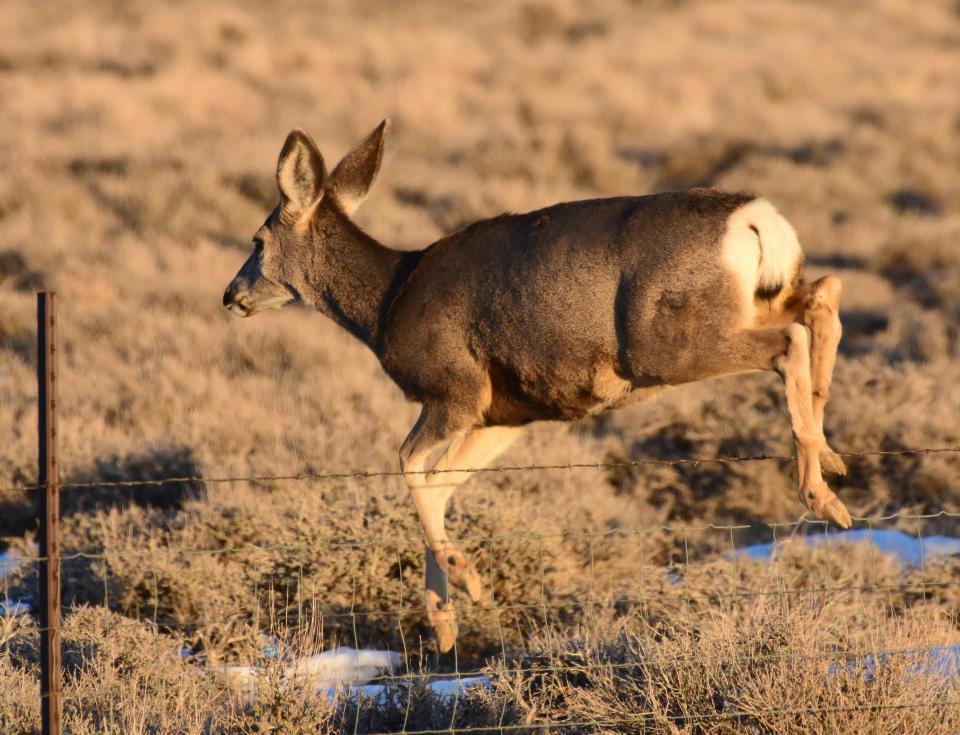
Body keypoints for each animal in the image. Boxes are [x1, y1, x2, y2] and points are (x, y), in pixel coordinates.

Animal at [223, 122, 848, 656]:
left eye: (257, 239)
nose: (231, 296)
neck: (385, 304)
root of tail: (755, 218)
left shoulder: (455, 388)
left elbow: (406, 463)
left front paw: (467, 583)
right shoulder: (507, 415)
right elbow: (439, 483)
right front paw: (444, 624)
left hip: (665, 341)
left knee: (788, 339)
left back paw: (821, 494)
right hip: (751, 301)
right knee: (823, 293)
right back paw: (831, 456)